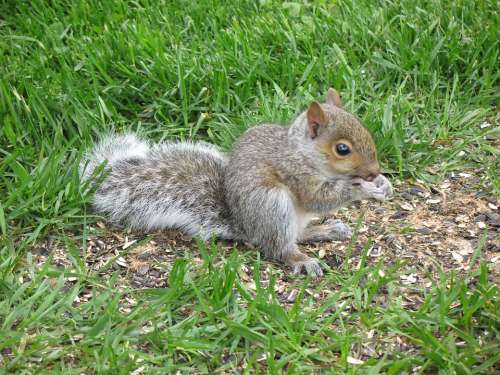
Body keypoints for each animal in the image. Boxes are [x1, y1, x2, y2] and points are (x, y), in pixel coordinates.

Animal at [82, 87, 392, 276]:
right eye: (342, 149)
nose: (373, 171)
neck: (303, 152)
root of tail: (245, 226)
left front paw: (383, 183)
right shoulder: (295, 173)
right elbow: (319, 198)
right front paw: (364, 189)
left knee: (298, 235)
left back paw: (327, 229)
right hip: (272, 204)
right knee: (278, 246)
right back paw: (302, 260)